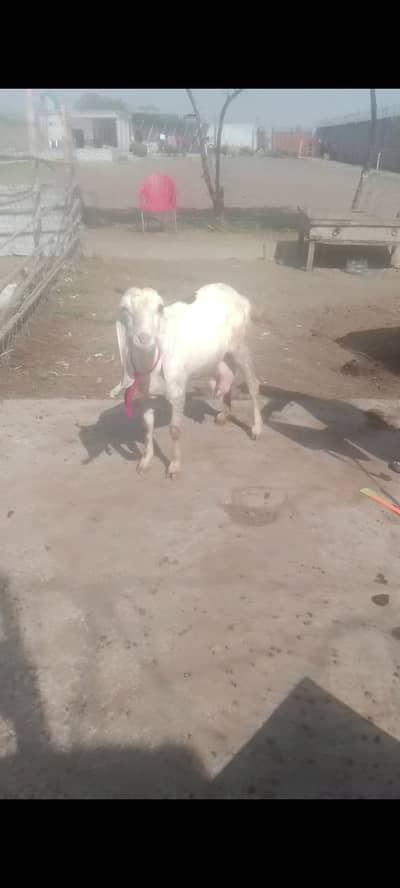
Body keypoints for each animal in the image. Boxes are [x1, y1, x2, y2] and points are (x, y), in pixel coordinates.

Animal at [109, 283, 262, 478]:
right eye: (125, 309)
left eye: (159, 308)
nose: (144, 338)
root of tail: (238, 295)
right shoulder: (146, 394)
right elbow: (147, 427)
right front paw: (145, 461)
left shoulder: (177, 392)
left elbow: (175, 430)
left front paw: (174, 466)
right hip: (221, 355)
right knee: (228, 376)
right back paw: (224, 414)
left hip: (239, 345)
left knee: (253, 384)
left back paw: (256, 428)